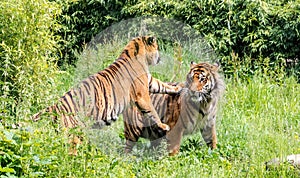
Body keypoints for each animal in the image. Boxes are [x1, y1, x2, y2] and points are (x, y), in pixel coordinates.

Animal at [32, 36, 183, 152]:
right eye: (157, 47)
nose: (160, 57)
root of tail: (55, 105)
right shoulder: (142, 95)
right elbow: (152, 110)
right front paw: (163, 125)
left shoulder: (150, 81)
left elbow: (162, 85)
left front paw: (178, 87)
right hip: (73, 134)